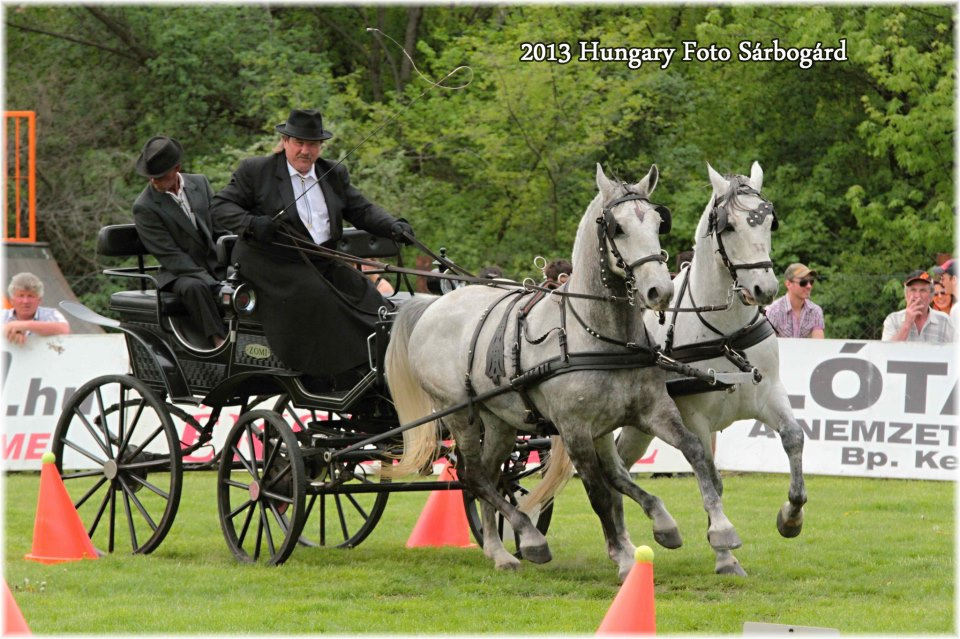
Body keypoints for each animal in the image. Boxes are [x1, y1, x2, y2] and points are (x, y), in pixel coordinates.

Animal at [386, 166, 740, 584]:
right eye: (618, 228)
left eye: (658, 223)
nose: (660, 291)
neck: (599, 336)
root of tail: (432, 305)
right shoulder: (575, 430)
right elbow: (600, 493)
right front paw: (624, 558)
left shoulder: (651, 412)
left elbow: (691, 453)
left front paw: (711, 529)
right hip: (459, 412)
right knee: (472, 476)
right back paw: (528, 538)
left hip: (502, 419)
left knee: (490, 474)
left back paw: (497, 550)